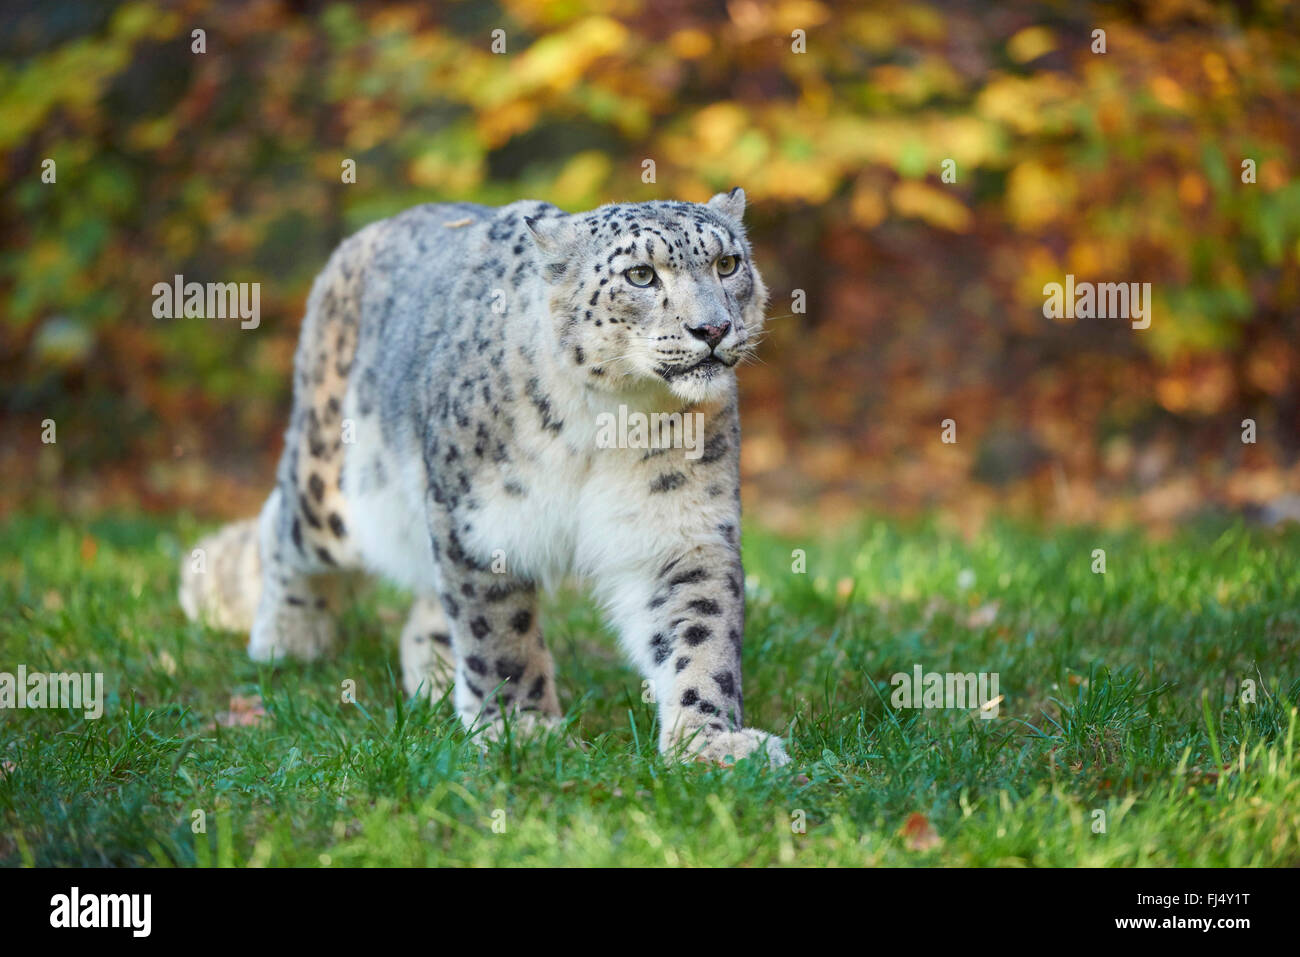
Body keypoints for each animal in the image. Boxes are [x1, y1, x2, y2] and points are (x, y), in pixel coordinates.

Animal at [178, 188, 785, 769]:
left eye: (728, 263)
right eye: (641, 275)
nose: (713, 328)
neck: (608, 421)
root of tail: (367, 235)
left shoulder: (679, 528)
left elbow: (699, 632)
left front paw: (713, 743)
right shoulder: (483, 521)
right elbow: (498, 631)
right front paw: (525, 729)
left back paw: (435, 673)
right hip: (338, 489)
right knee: (285, 526)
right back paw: (288, 639)